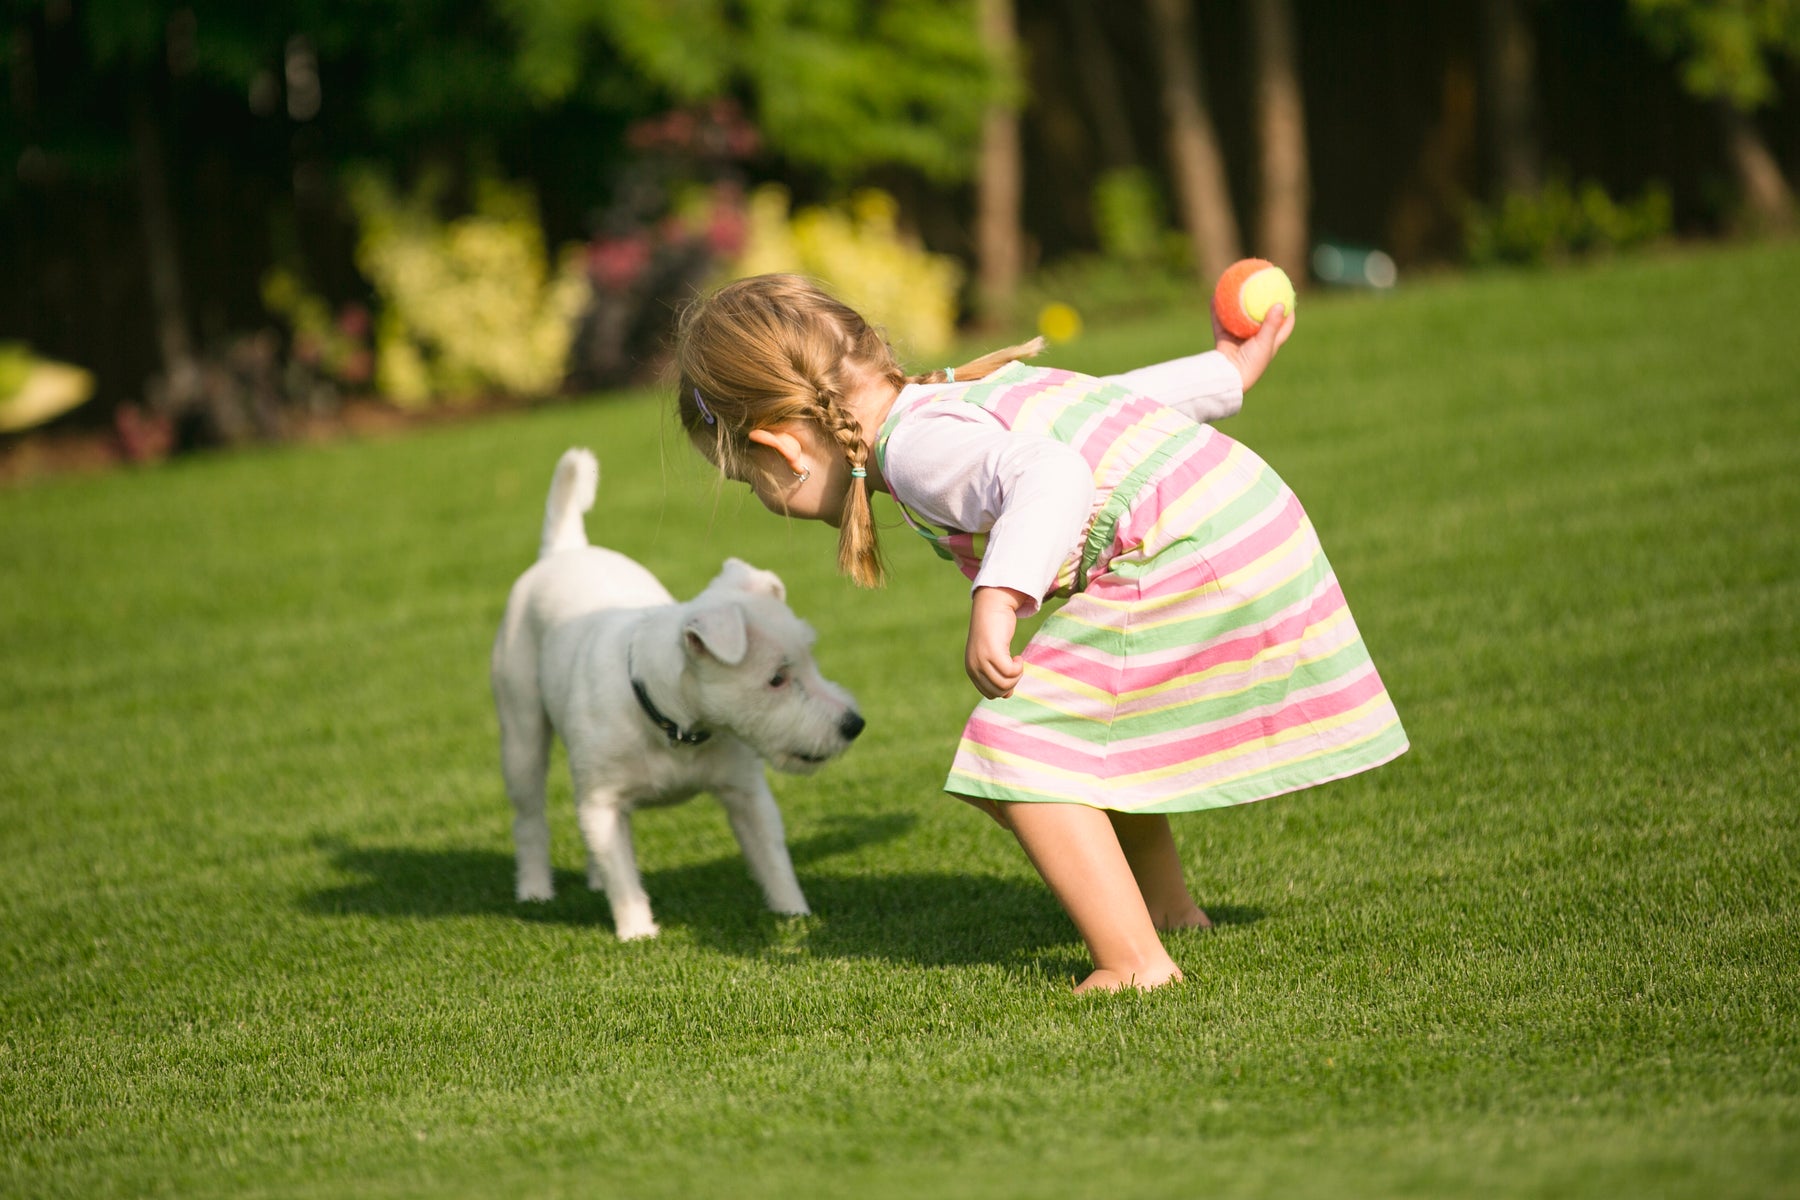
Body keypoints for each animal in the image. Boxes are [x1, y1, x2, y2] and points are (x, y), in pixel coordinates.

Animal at [489, 447, 860, 935]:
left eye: (810, 661)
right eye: (776, 678)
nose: (854, 724)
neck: (676, 725)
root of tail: (566, 550)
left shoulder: (747, 794)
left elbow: (773, 861)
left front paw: (793, 914)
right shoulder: (602, 805)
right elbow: (623, 876)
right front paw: (637, 933)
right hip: (521, 733)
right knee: (529, 817)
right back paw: (534, 889)